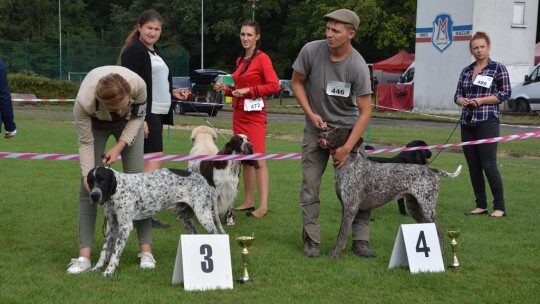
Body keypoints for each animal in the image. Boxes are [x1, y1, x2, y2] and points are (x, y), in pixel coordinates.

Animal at [86, 167, 224, 276]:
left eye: (102, 180)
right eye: (90, 181)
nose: (94, 196)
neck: (118, 190)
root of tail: (206, 181)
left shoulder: (125, 227)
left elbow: (115, 253)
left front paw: (108, 272)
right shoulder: (111, 227)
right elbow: (104, 251)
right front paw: (96, 268)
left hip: (204, 216)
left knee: (216, 235)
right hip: (186, 219)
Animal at [318, 127, 462, 258]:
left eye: (337, 131)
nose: (321, 133)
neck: (349, 164)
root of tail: (431, 170)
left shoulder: (350, 207)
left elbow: (342, 235)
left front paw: (335, 255)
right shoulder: (345, 207)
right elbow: (340, 233)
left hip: (427, 208)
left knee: (440, 232)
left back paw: (441, 255)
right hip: (415, 208)